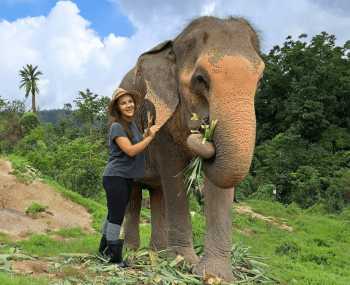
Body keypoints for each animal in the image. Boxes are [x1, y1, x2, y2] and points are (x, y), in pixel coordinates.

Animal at [118, 15, 266, 280]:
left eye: (259, 80)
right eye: (200, 79)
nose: (205, 127)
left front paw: (215, 275)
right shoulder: (162, 123)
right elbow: (174, 174)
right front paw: (182, 263)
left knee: (158, 193)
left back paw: (157, 254)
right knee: (135, 193)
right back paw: (133, 252)